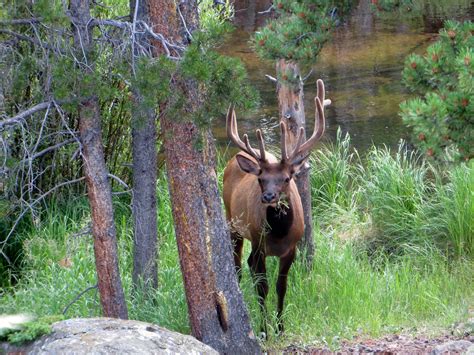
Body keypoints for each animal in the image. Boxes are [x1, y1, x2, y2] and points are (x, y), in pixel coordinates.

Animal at [223, 79, 330, 336]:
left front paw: (280, 326)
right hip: (233, 223)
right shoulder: (260, 243)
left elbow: (282, 286)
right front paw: (264, 328)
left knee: (247, 265)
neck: (279, 235)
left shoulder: (291, 249)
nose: (269, 196)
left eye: (286, 178)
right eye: (261, 179)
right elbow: (263, 287)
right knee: (239, 267)